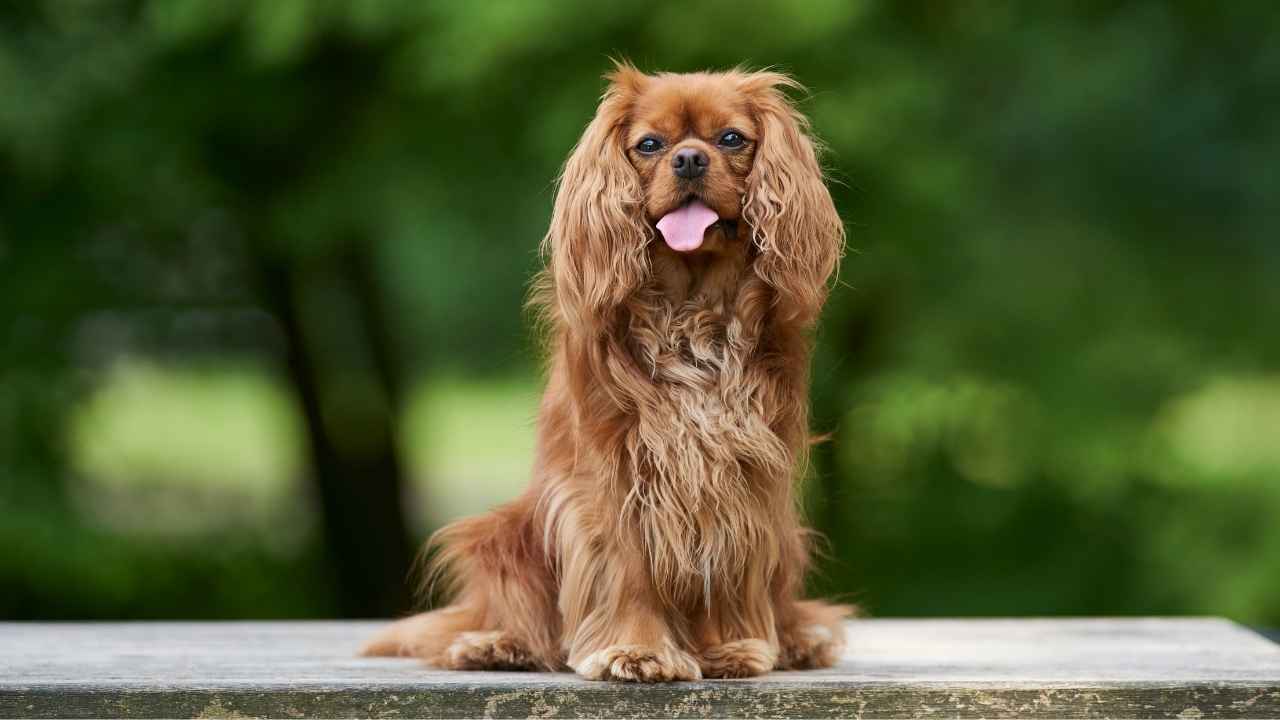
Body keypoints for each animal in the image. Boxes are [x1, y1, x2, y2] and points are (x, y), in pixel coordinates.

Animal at [366, 63, 849, 676]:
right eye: (649, 145)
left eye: (731, 138)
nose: (689, 159)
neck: (691, 311)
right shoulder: (614, 473)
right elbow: (629, 568)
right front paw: (638, 649)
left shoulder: (741, 471)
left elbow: (728, 559)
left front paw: (730, 647)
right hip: (504, 535)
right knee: (520, 616)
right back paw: (496, 643)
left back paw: (795, 638)